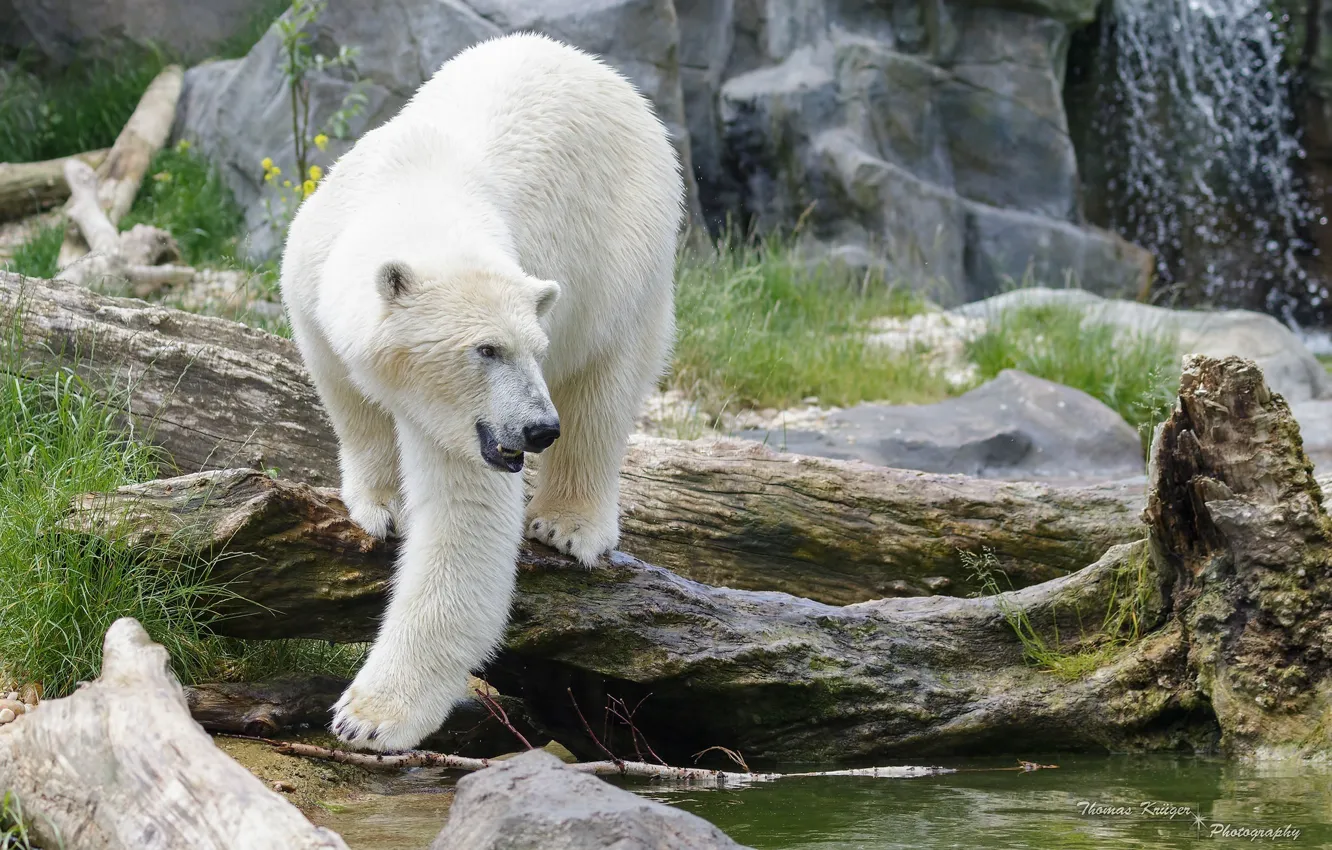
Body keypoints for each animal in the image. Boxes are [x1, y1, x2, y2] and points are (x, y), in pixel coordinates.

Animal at [278, 31, 685, 752]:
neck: (416, 188)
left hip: (628, 248)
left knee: (604, 386)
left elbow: (463, 522)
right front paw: (383, 503)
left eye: (532, 349)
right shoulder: (311, 281)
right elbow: (351, 399)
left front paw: (368, 715)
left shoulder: (474, 425)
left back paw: (569, 523)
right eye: (485, 349)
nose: (536, 429)